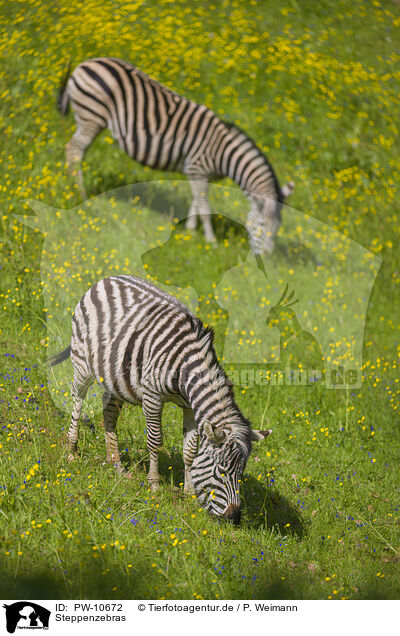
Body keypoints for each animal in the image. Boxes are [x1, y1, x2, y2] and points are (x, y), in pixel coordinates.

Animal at [52, 276, 272, 524]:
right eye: (221, 471)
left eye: (241, 474)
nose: (234, 518)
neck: (187, 368)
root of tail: (107, 279)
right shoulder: (152, 398)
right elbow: (155, 441)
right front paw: (155, 485)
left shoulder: (189, 407)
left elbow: (190, 450)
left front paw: (189, 492)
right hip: (82, 363)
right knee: (77, 398)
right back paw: (72, 448)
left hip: (114, 377)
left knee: (109, 412)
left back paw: (116, 463)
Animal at [56, 57, 294, 255]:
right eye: (262, 226)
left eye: (278, 228)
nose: (266, 258)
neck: (225, 154)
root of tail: (85, 63)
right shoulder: (197, 168)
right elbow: (204, 207)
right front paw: (211, 241)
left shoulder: (198, 173)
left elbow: (196, 202)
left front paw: (189, 231)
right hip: (92, 116)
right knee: (74, 150)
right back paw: (78, 192)